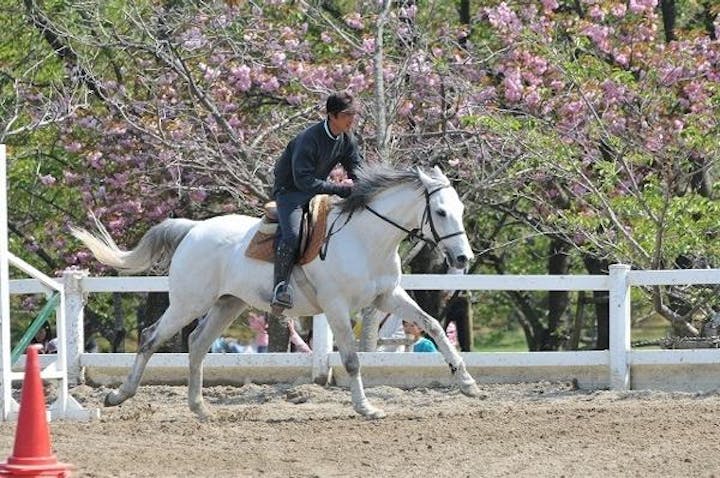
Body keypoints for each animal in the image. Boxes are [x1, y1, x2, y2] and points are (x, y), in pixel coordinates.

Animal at [73, 164, 480, 418]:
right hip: (189, 303)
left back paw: (200, 407)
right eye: (440, 212)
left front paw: (468, 384)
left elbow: (434, 327)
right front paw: (366, 408)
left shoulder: (389, 297)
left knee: (197, 344)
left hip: (227, 305)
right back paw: (119, 395)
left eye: (460, 208)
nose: (464, 257)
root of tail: (192, 229)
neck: (367, 239)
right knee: (150, 337)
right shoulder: (336, 307)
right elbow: (351, 359)